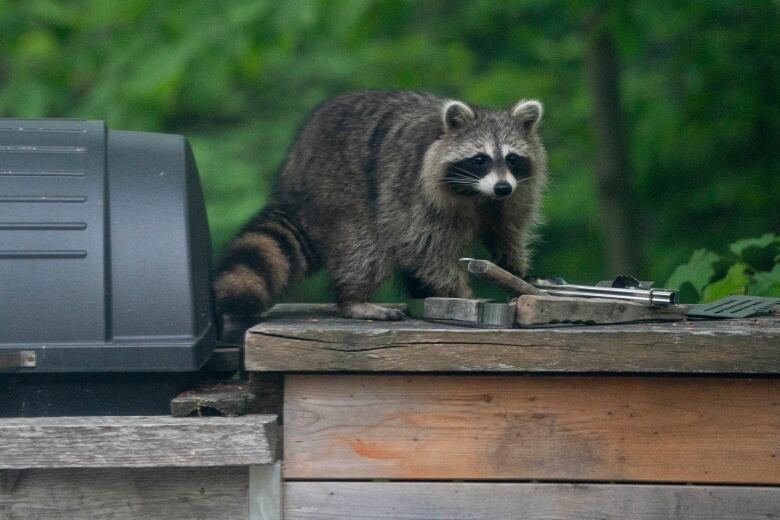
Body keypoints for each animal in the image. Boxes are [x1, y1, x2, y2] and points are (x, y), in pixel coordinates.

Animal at [213, 91, 548, 322]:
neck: (479, 194)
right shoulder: (411, 189)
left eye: (512, 159)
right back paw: (354, 299)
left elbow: (507, 233)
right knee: (364, 249)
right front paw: (459, 291)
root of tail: (292, 178)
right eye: (480, 159)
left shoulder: (516, 193)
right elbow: (423, 245)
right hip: (340, 192)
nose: (502, 187)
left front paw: (517, 271)